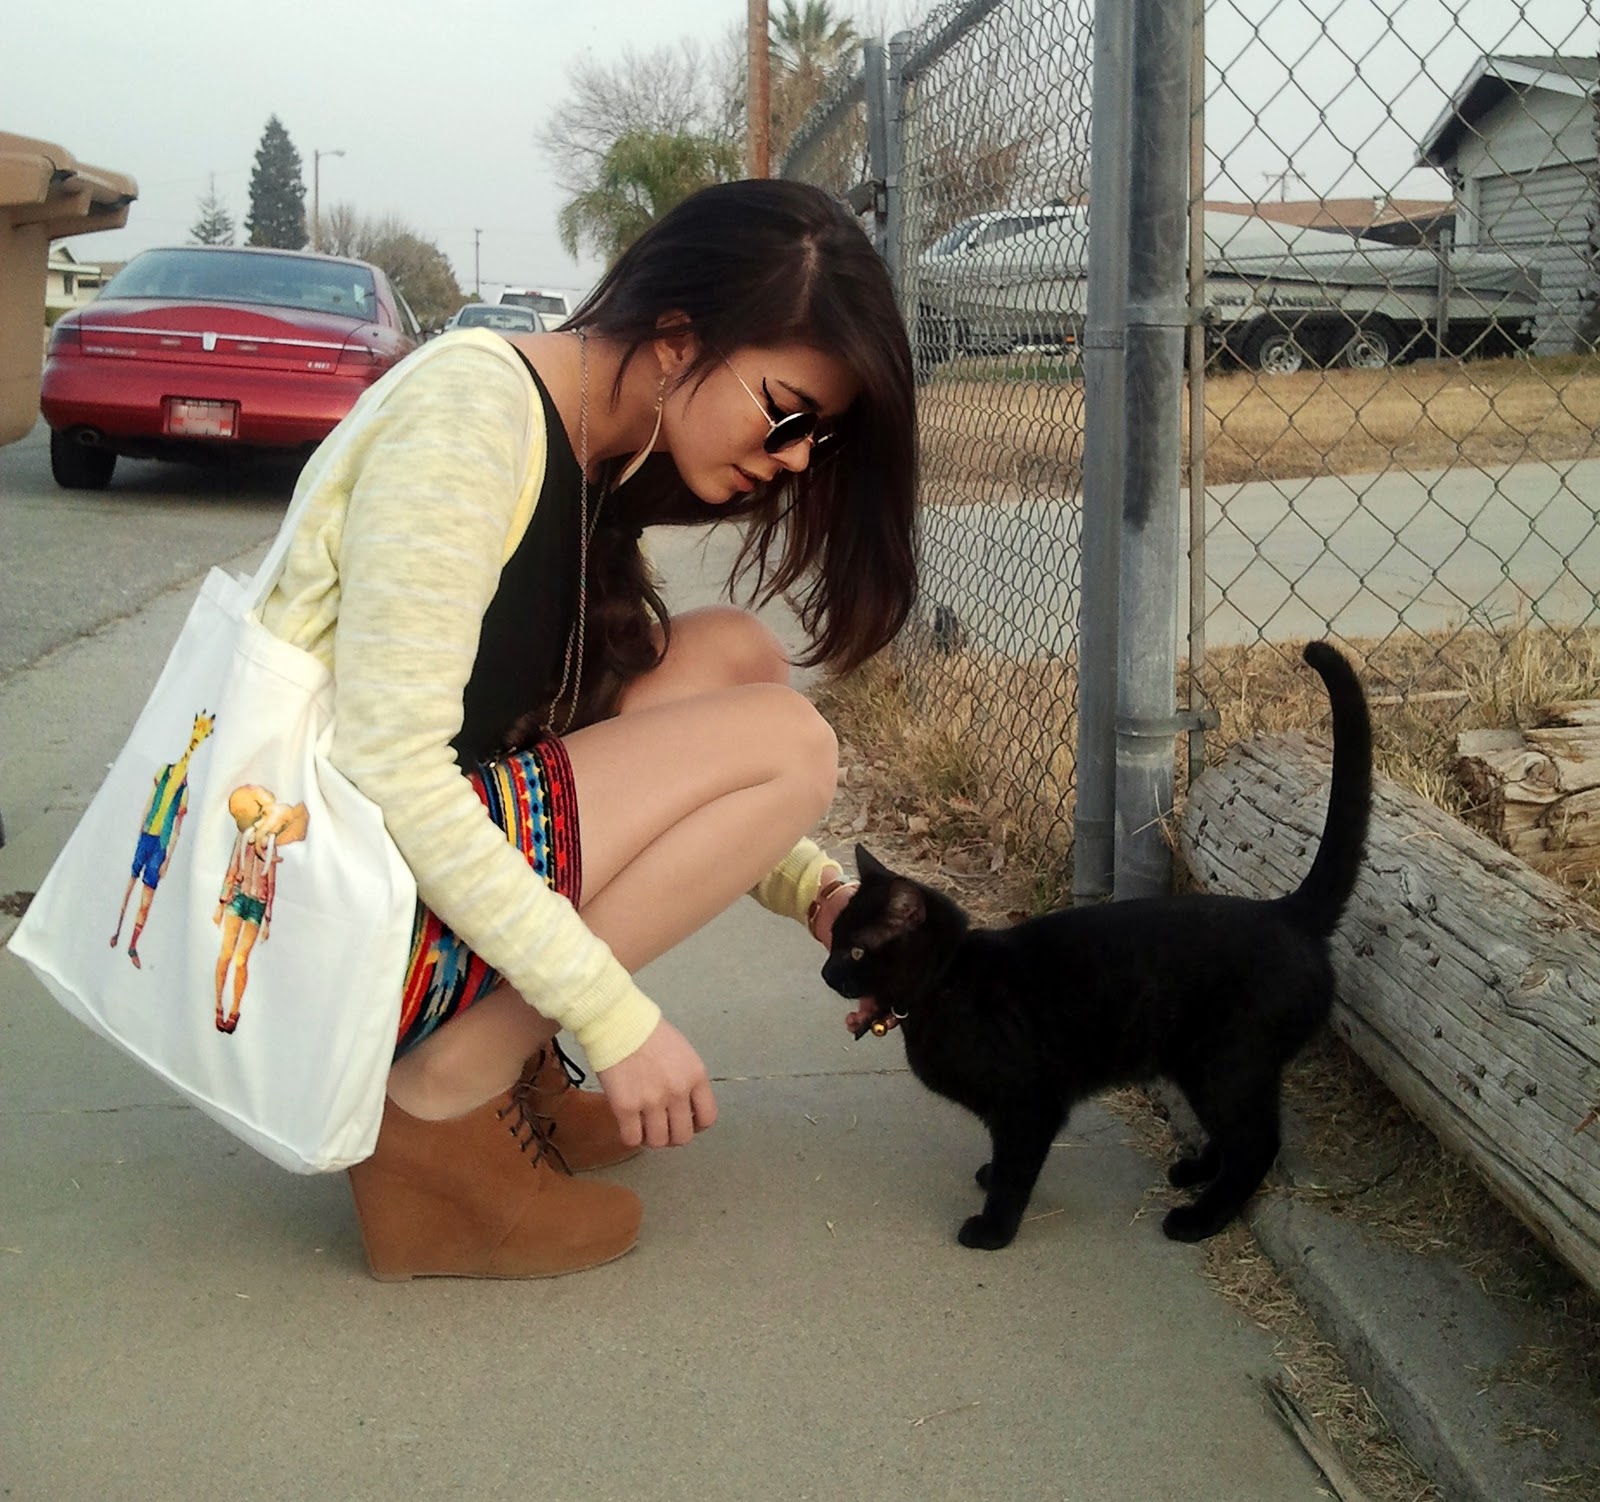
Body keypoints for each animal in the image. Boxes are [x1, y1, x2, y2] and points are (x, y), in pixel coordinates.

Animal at [820, 640, 1371, 1249]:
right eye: (833, 942)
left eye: (856, 951)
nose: (827, 973)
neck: (947, 982)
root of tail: (1287, 912)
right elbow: (1003, 1159)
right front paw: (989, 1181)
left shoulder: (1030, 1102)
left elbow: (1016, 1169)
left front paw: (992, 1227)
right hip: (1208, 1066)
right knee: (1241, 1135)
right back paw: (1195, 1171)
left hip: (1227, 1061)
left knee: (1258, 1143)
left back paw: (1197, 1218)